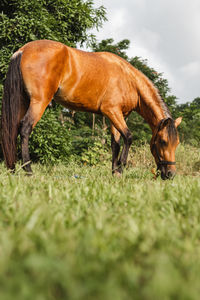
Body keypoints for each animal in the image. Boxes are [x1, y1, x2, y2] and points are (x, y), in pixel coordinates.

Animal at [1, 39, 181, 180]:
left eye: (177, 143)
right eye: (163, 141)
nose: (170, 174)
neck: (129, 80)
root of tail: (22, 51)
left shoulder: (117, 116)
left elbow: (115, 143)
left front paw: (115, 173)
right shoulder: (112, 111)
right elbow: (128, 137)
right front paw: (121, 166)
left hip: (23, 101)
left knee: (14, 130)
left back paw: (13, 170)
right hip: (39, 102)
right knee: (25, 129)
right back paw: (28, 171)